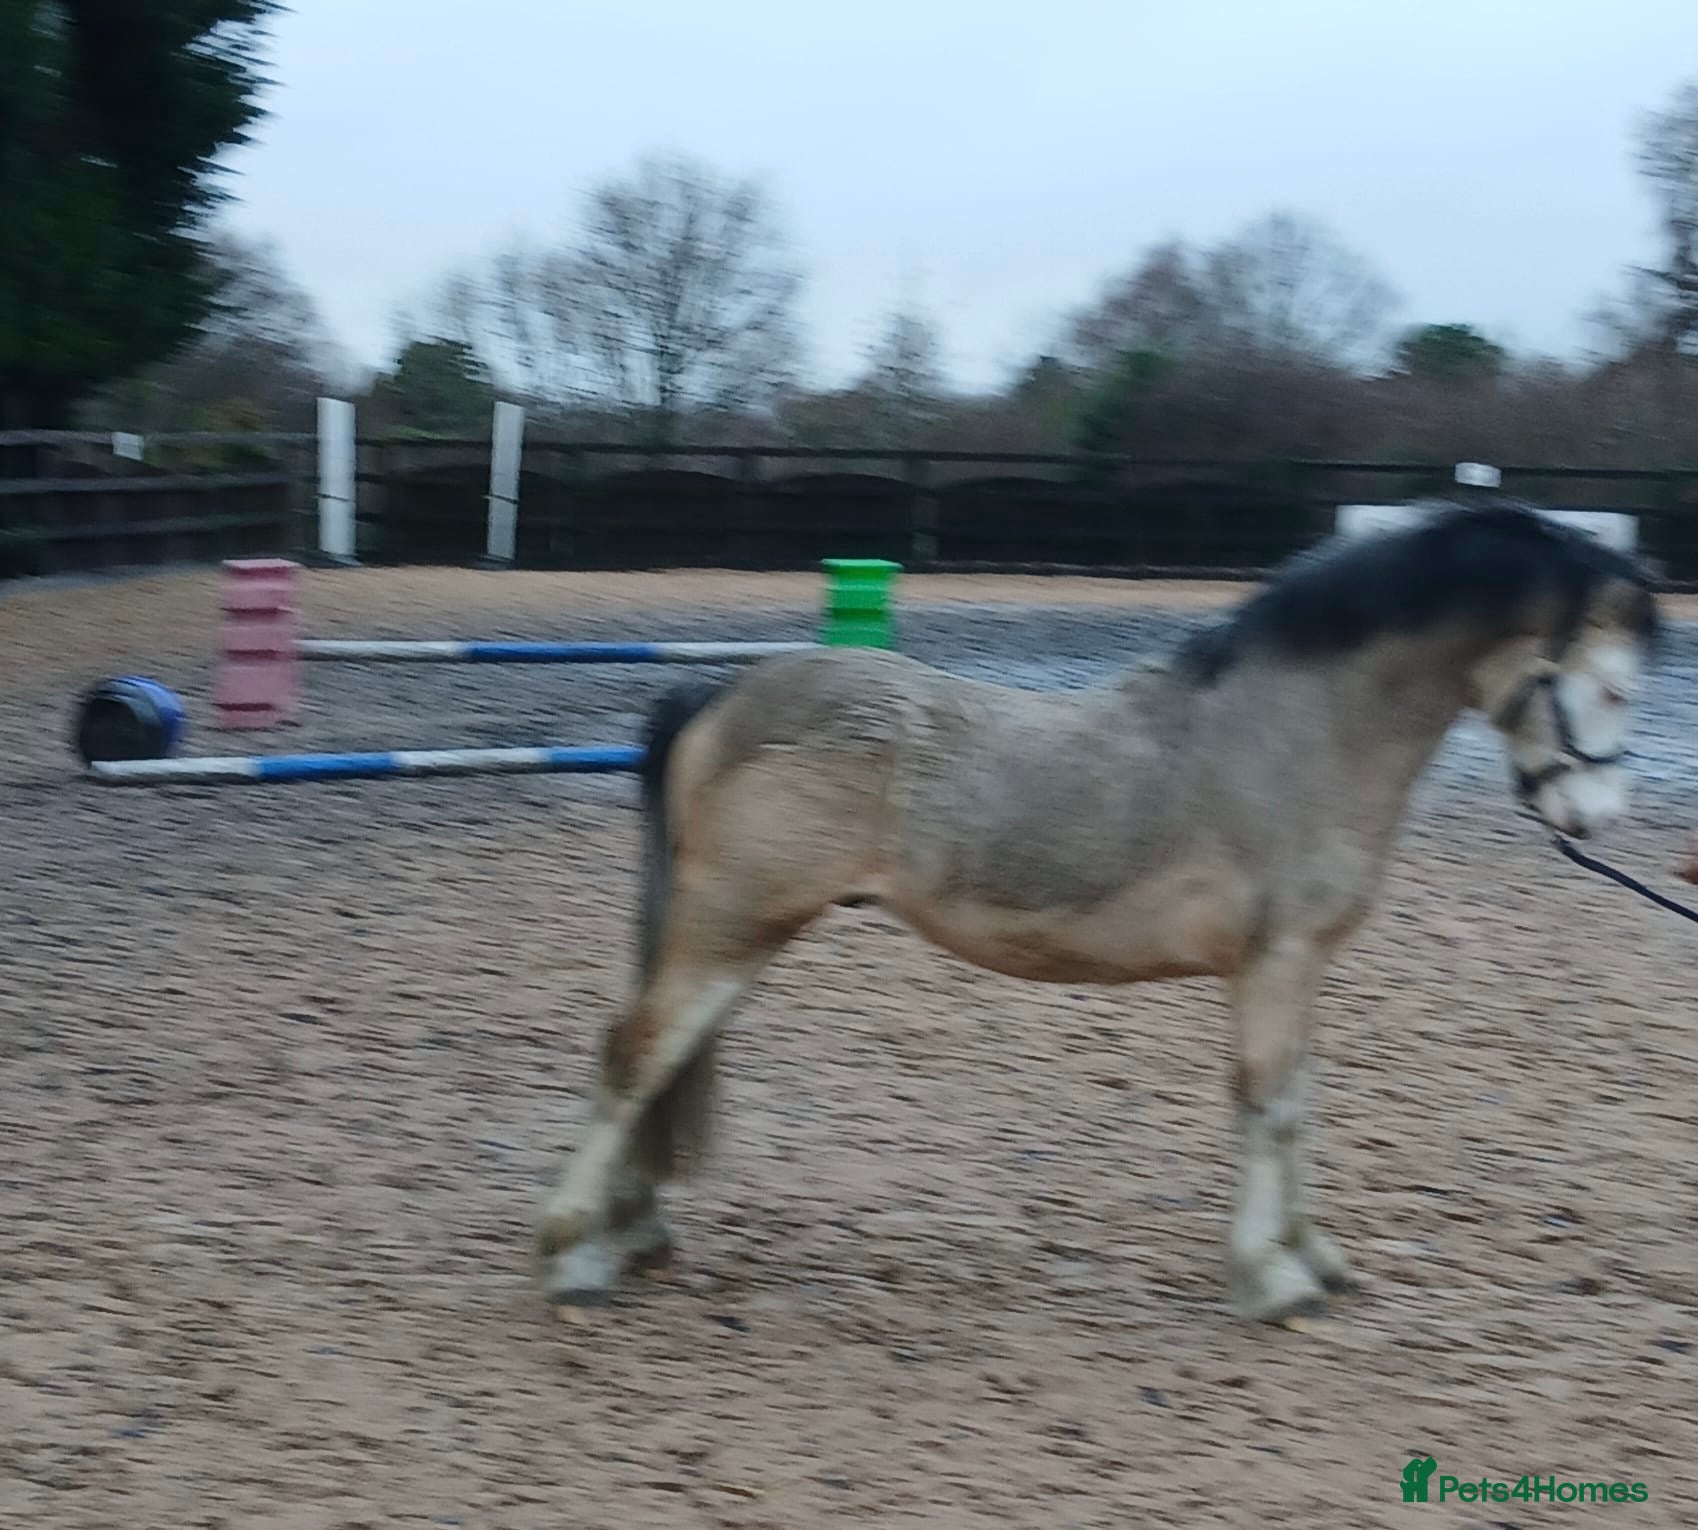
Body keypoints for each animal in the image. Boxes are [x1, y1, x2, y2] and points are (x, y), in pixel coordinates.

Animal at [535, 501, 1660, 1325]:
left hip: (741, 936)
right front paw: (1272, 1279)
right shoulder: (1276, 960)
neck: (1296, 733)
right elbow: (1267, 1105)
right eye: (1609, 689)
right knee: (635, 1057)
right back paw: (571, 1253)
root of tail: (722, 696)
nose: (1598, 818)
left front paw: (1312, 1258)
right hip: (729, 927)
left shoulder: (1303, 968)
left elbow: (1300, 1103)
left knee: (665, 1057)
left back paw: (632, 1232)